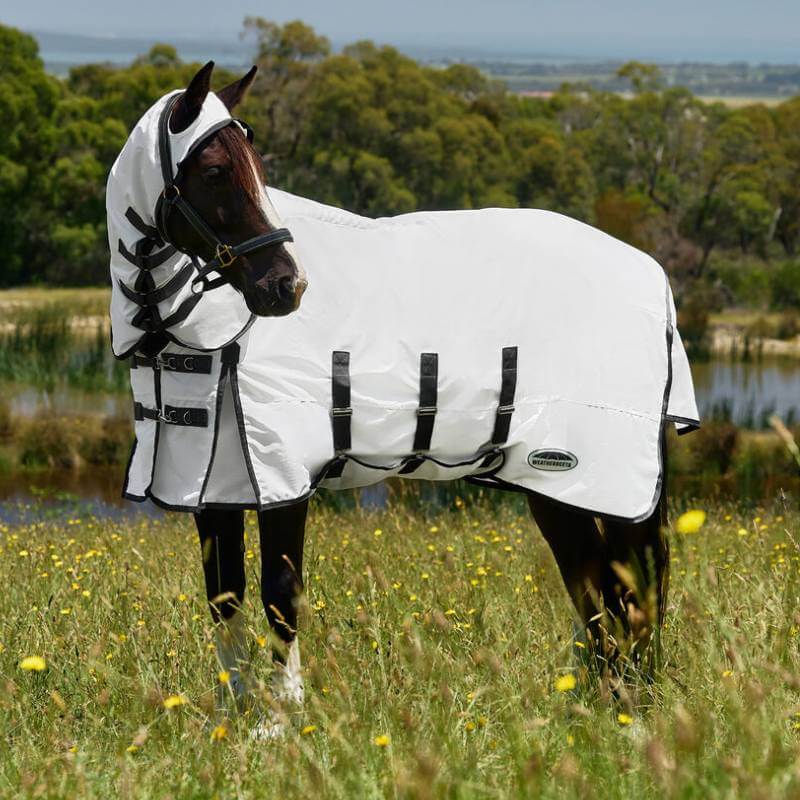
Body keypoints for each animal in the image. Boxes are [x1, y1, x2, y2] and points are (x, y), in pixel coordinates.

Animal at [108, 62, 695, 737]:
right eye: (212, 171)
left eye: (255, 165)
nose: (287, 287)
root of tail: (654, 277)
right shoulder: (213, 487)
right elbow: (223, 597)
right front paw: (237, 715)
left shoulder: (285, 477)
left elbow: (280, 593)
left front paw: (284, 718)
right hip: (553, 488)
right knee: (598, 586)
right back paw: (602, 703)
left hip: (592, 481)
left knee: (624, 590)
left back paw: (627, 709)